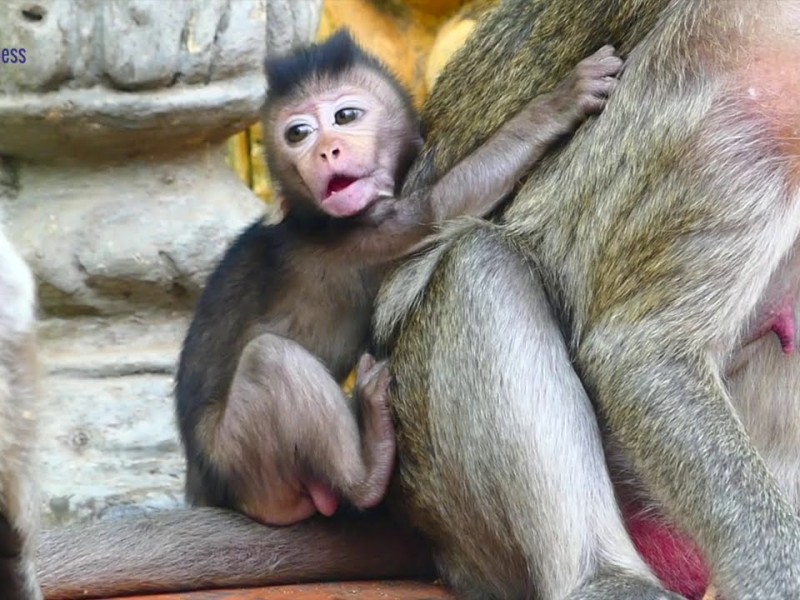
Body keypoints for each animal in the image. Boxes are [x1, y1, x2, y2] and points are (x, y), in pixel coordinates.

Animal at [174, 28, 623, 527]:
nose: (326, 150)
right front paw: (561, 102)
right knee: (270, 360)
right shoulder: (355, 235)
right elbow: (438, 208)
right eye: (298, 133)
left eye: (346, 116)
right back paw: (367, 470)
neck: (313, 216)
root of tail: (203, 486)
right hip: (239, 462)